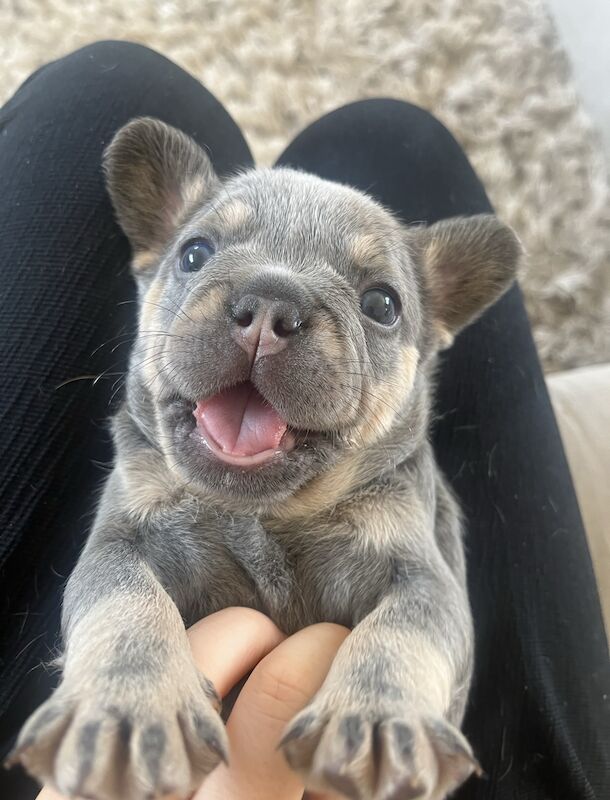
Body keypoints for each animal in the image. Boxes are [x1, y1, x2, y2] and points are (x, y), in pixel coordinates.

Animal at [9, 115, 516, 796]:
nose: (272, 300)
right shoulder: (121, 544)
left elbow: (401, 637)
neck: (268, 512)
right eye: (195, 254)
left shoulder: (423, 578)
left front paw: (379, 719)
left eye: (382, 305)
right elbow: (127, 605)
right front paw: (127, 705)